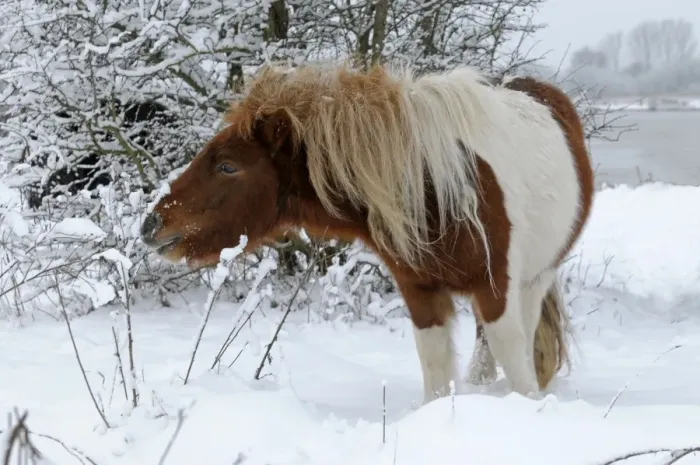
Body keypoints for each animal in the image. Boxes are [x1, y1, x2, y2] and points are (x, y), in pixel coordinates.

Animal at [140, 62, 594, 404]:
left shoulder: (496, 285)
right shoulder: (420, 291)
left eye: (227, 166)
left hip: (536, 278)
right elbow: (435, 368)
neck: (432, 185)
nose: (151, 225)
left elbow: (515, 361)